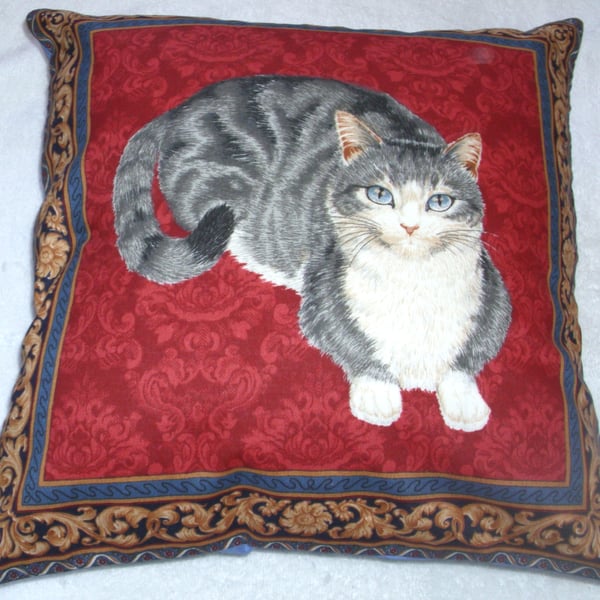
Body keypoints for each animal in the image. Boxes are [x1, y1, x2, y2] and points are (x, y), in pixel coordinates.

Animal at [113, 75, 510, 432]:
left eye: (439, 201)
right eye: (380, 194)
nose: (409, 226)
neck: (410, 283)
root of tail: (184, 105)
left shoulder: (493, 304)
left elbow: (465, 361)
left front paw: (466, 406)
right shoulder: (323, 301)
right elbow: (355, 347)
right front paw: (378, 397)